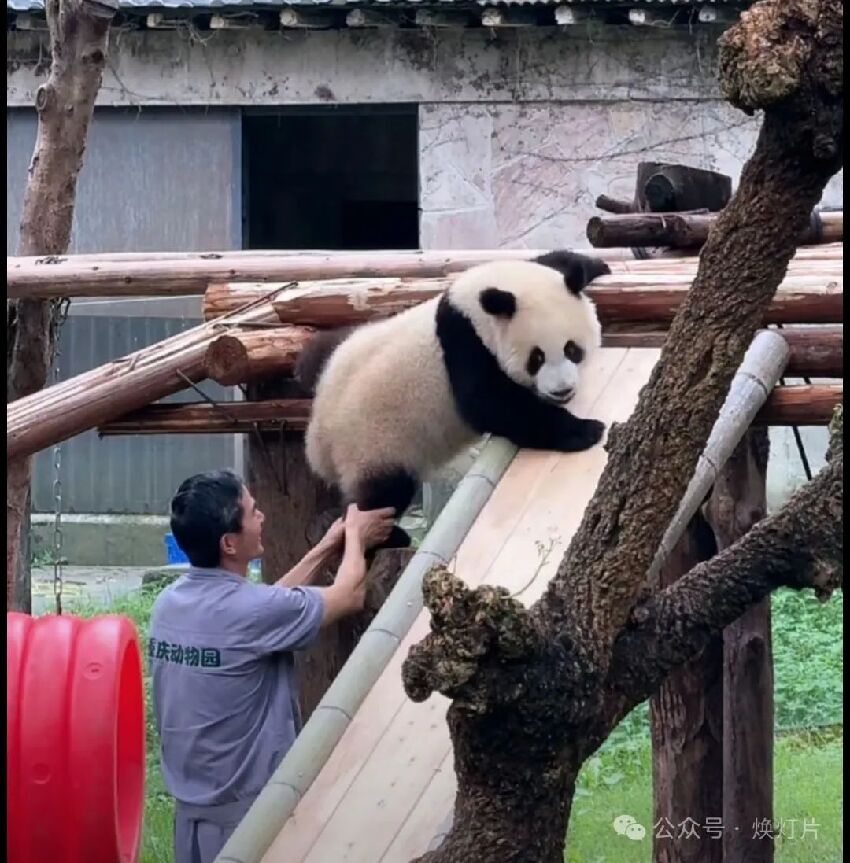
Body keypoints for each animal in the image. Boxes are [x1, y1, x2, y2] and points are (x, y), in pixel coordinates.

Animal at [296, 250, 608, 552]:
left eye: (571, 349)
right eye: (537, 358)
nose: (563, 390)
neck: (474, 310)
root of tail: (318, 441)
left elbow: (552, 259)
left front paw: (596, 266)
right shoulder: (464, 346)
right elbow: (492, 404)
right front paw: (586, 430)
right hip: (375, 443)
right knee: (381, 495)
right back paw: (384, 536)